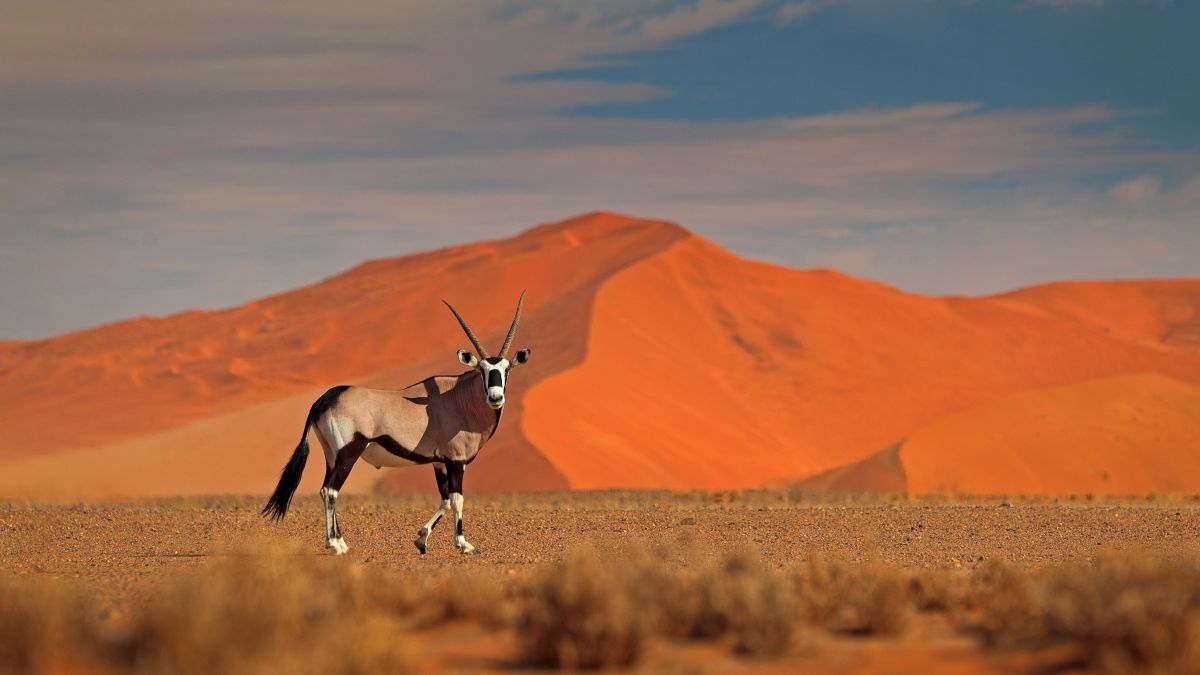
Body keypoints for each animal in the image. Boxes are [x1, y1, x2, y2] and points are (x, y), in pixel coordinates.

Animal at [265, 291, 532, 554]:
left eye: (507, 369)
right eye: (482, 369)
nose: (495, 397)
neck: (459, 399)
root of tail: (323, 400)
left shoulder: (439, 463)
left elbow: (445, 500)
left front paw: (422, 539)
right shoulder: (456, 461)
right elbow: (457, 500)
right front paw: (463, 544)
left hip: (332, 456)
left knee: (324, 489)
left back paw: (338, 540)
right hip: (348, 453)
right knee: (331, 491)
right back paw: (336, 545)